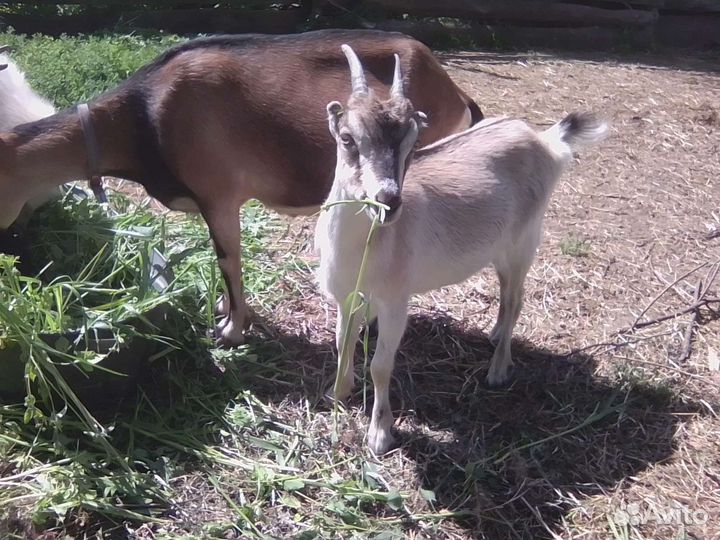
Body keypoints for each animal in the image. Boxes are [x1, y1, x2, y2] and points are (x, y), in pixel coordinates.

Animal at [0, 29, 481, 345]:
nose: (15, 254)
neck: (146, 115)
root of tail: (456, 93)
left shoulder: (220, 194)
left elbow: (228, 260)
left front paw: (230, 329)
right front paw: (224, 312)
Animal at [316, 45, 608, 454]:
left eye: (413, 143)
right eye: (347, 138)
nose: (388, 201)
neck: (364, 248)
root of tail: (545, 139)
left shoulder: (395, 301)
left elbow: (380, 365)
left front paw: (379, 434)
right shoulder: (347, 296)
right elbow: (343, 344)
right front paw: (337, 393)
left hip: (524, 240)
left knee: (516, 298)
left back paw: (498, 371)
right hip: (499, 249)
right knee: (507, 293)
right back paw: (496, 334)